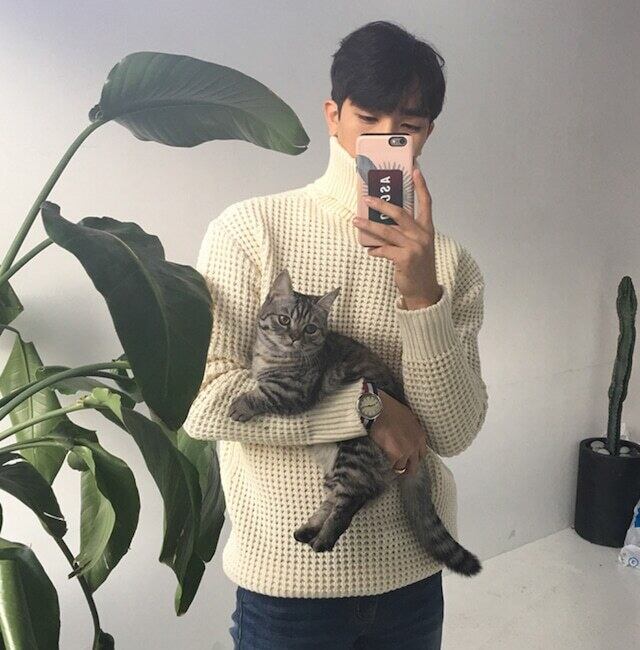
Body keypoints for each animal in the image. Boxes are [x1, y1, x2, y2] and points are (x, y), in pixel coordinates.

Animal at [228, 268, 481, 577]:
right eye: (284, 320)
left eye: (310, 329)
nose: (294, 338)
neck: (273, 356)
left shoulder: (292, 392)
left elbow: (261, 394)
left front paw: (241, 405)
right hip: (337, 465)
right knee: (346, 496)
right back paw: (309, 529)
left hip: (353, 456)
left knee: (349, 502)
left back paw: (323, 539)